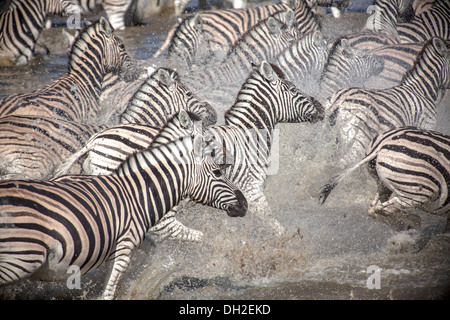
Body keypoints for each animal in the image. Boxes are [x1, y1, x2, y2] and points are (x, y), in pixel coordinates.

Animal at [318, 127, 448, 230]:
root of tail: (381, 145)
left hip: (384, 183)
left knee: (374, 208)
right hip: (417, 191)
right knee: (384, 208)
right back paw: (412, 224)